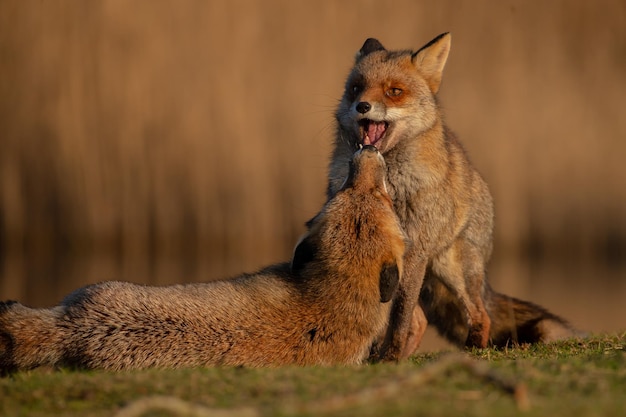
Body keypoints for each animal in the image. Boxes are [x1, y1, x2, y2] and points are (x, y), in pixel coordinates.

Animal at [330, 32, 576, 360]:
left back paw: (469, 350)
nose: (362, 106)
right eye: (356, 88)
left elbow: (399, 317)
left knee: (480, 314)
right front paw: (385, 357)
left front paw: (390, 354)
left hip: (453, 269)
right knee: (422, 321)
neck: (390, 185)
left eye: (394, 91)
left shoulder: (414, 251)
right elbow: (393, 316)